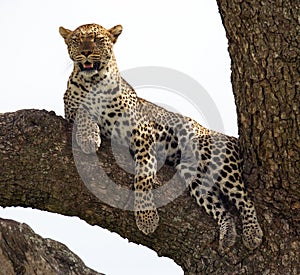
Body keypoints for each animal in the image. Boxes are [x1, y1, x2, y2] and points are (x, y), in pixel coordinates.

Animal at [58, 23, 262, 251]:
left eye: (98, 40)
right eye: (76, 40)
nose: (85, 52)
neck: (93, 81)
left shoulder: (142, 129)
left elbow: (143, 175)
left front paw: (147, 218)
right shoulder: (70, 109)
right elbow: (83, 113)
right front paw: (89, 137)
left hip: (218, 159)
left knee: (244, 199)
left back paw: (253, 233)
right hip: (193, 174)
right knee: (222, 208)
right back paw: (228, 234)